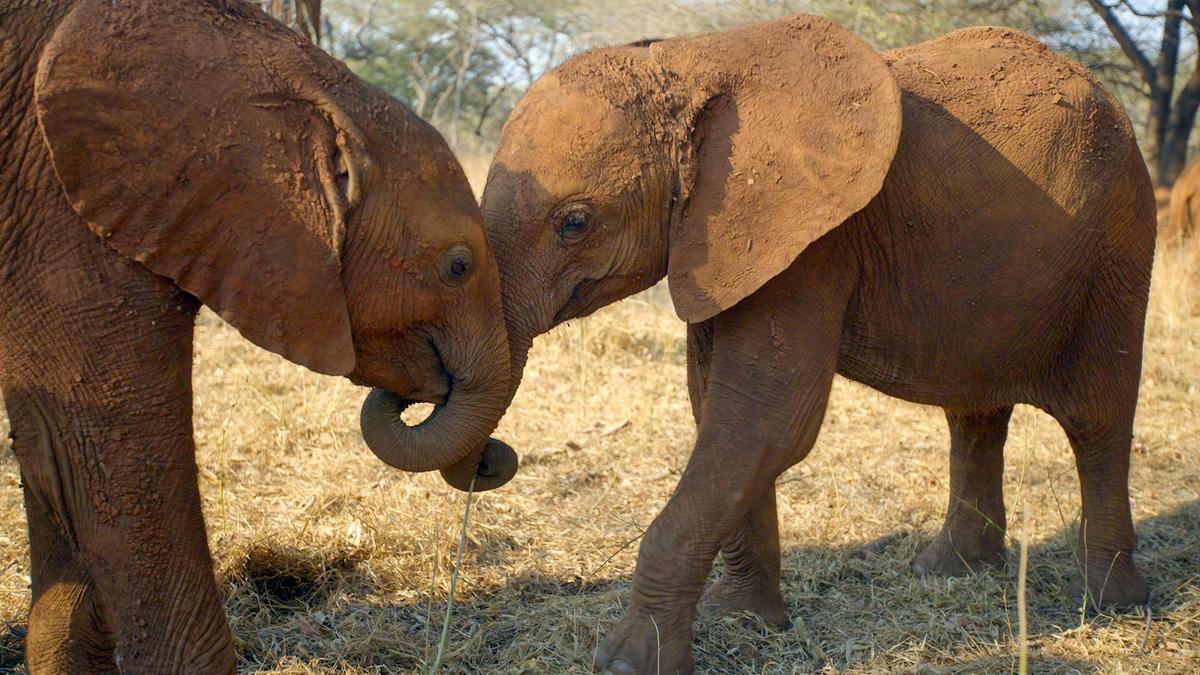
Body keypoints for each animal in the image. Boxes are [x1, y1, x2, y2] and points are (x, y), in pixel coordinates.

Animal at [480, 13, 1161, 667]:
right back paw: (950, 571)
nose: (496, 456)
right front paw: (746, 620)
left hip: (1117, 248)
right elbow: (720, 414)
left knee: (1097, 418)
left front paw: (628, 661)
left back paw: (1107, 604)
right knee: (973, 415)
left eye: (574, 223)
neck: (693, 57)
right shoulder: (724, 241)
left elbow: (769, 419)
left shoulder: (813, 241)